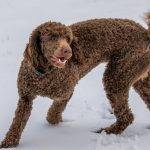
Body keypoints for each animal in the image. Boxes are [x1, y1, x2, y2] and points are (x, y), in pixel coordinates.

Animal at [0, 12, 150, 148]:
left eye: (68, 39)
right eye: (52, 37)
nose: (68, 51)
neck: (45, 73)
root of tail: (145, 32)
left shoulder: (66, 92)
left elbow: (53, 113)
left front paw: (56, 120)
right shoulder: (25, 96)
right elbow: (18, 121)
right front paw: (9, 141)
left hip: (117, 76)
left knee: (127, 116)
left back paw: (109, 131)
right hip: (138, 78)